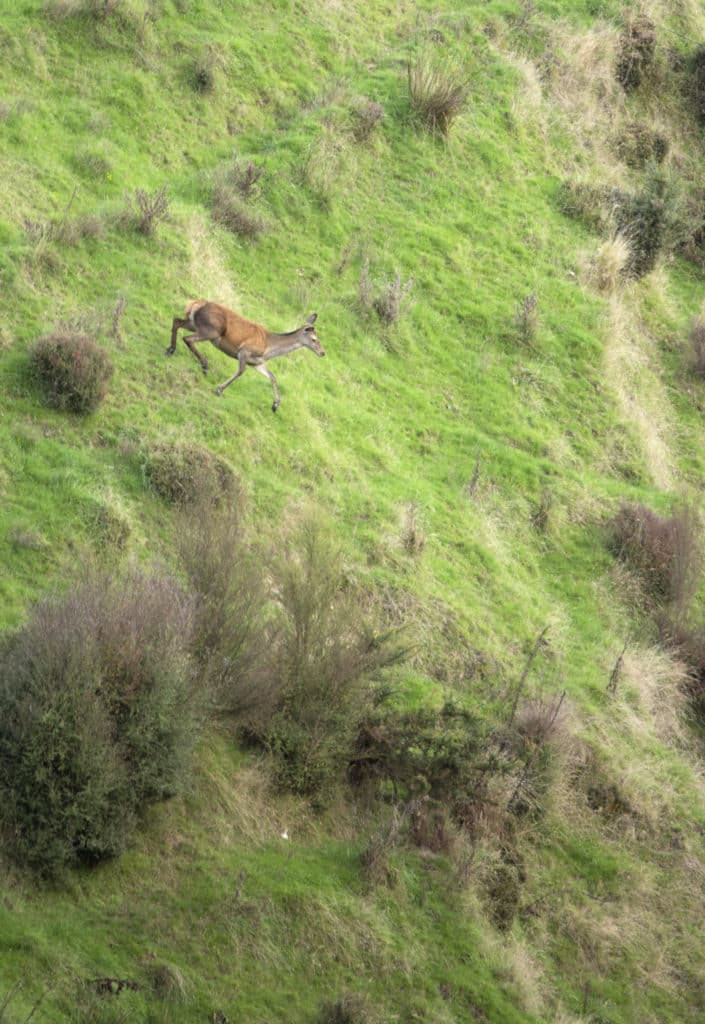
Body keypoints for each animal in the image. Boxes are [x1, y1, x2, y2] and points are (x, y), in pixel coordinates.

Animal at [168, 301, 325, 413]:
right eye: (314, 339)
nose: (323, 352)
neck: (268, 348)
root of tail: (194, 303)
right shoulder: (244, 352)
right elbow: (240, 372)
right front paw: (219, 389)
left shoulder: (256, 363)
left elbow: (272, 376)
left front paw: (275, 405)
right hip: (211, 330)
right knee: (187, 338)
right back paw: (204, 365)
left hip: (193, 323)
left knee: (176, 321)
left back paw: (171, 349)